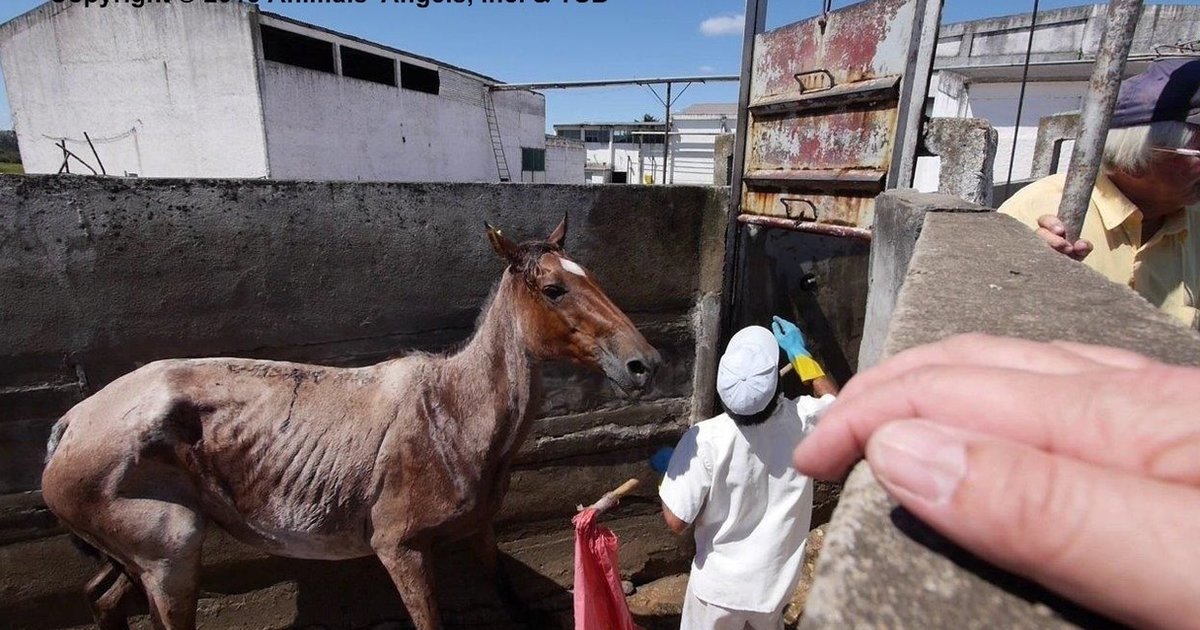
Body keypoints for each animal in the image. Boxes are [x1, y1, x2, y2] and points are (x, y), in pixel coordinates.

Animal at [41, 216, 661, 630]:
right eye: (554, 290)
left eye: (592, 278)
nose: (645, 364)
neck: (452, 414)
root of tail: (73, 421)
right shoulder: (401, 550)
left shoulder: (481, 532)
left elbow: (511, 597)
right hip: (170, 555)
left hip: (138, 555)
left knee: (101, 596)